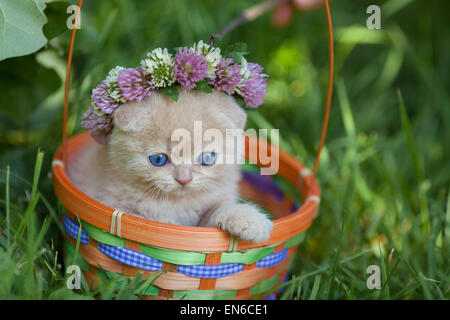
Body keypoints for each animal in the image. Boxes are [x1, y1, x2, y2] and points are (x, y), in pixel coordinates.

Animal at [68, 89, 272, 242]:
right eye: (158, 159)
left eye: (207, 158)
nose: (184, 179)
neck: (177, 203)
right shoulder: (109, 202)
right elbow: (142, 218)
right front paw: (169, 226)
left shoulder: (205, 220)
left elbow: (217, 212)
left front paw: (248, 219)